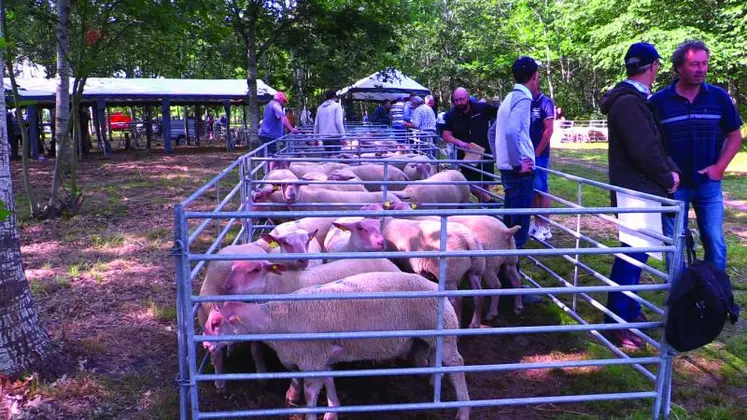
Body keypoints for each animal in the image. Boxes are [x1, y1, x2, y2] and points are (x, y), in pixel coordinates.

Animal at [205, 272, 470, 420]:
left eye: (216, 323)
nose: (206, 344)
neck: (276, 319)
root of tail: (435, 285)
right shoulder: (323, 357)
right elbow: (330, 382)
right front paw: (333, 411)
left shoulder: (311, 359)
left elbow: (310, 393)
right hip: (431, 334)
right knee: (435, 358)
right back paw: (434, 382)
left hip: (444, 332)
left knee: (457, 364)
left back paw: (463, 410)